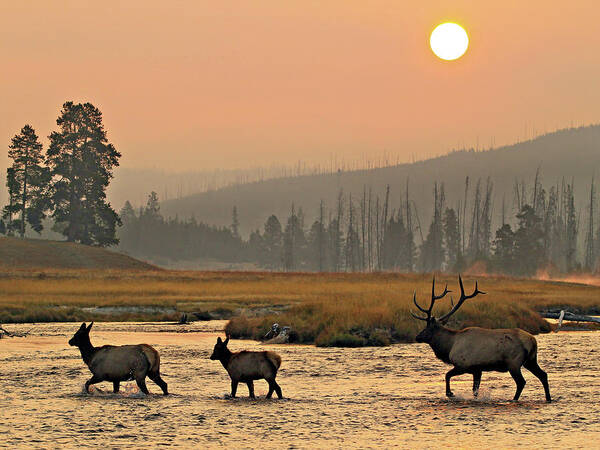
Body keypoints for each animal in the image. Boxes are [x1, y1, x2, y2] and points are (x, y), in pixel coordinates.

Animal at [414, 276, 552, 402]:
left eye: (427, 328)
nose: (417, 337)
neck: (450, 346)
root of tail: (532, 341)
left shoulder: (463, 365)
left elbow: (447, 375)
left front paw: (450, 393)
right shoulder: (477, 370)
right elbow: (475, 390)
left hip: (514, 363)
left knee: (521, 382)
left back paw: (514, 399)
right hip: (531, 360)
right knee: (543, 375)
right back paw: (548, 398)